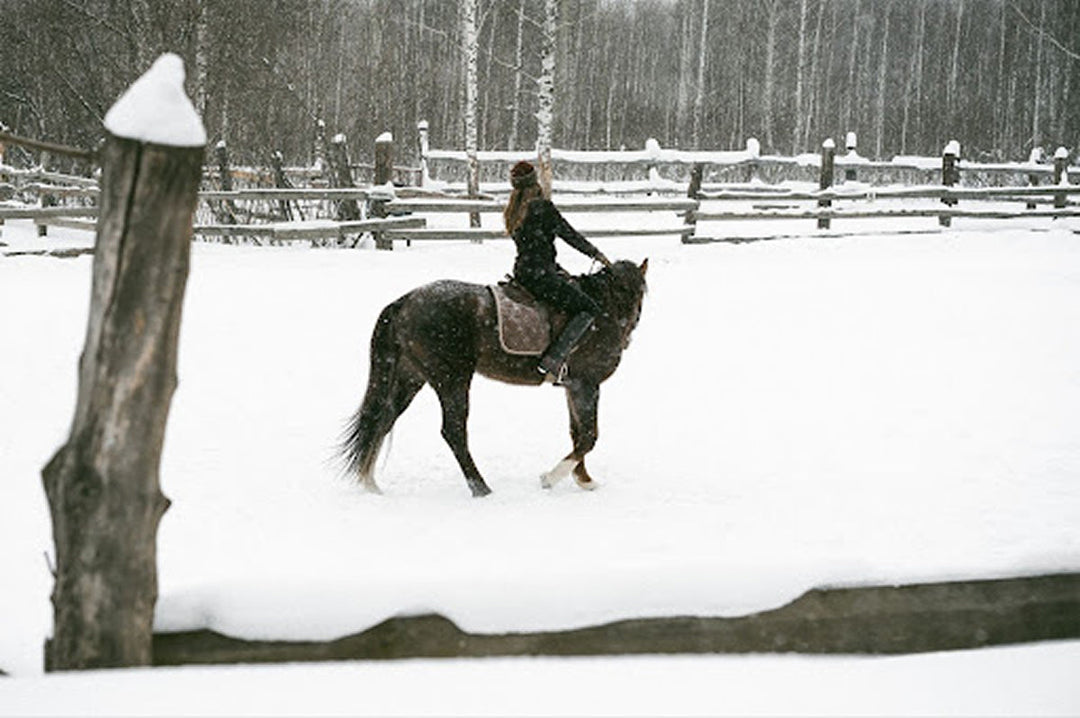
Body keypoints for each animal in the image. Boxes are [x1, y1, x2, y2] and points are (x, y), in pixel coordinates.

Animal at [340, 259, 648, 497]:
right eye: (631, 293)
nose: (627, 329)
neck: (603, 310)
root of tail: (405, 301)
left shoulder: (572, 386)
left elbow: (577, 433)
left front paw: (583, 479)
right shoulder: (586, 383)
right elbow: (588, 436)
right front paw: (552, 478)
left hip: (411, 377)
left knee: (383, 419)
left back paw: (371, 484)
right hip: (452, 379)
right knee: (453, 431)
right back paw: (481, 488)